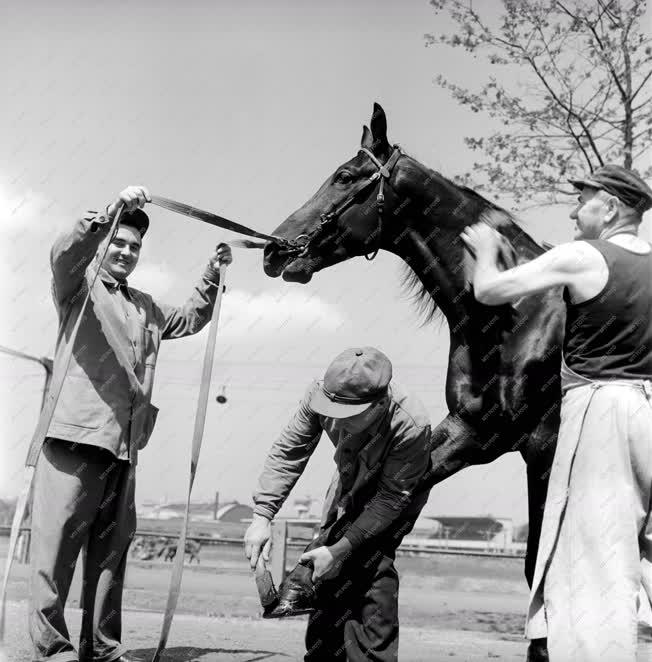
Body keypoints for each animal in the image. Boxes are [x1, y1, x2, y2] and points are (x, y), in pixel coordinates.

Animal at [262, 104, 564, 660]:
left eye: (344, 176)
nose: (274, 251)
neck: (518, 315)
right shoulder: (473, 432)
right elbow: (381, 497)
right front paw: (305, 580)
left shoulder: (544, 447)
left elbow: (540, 566)